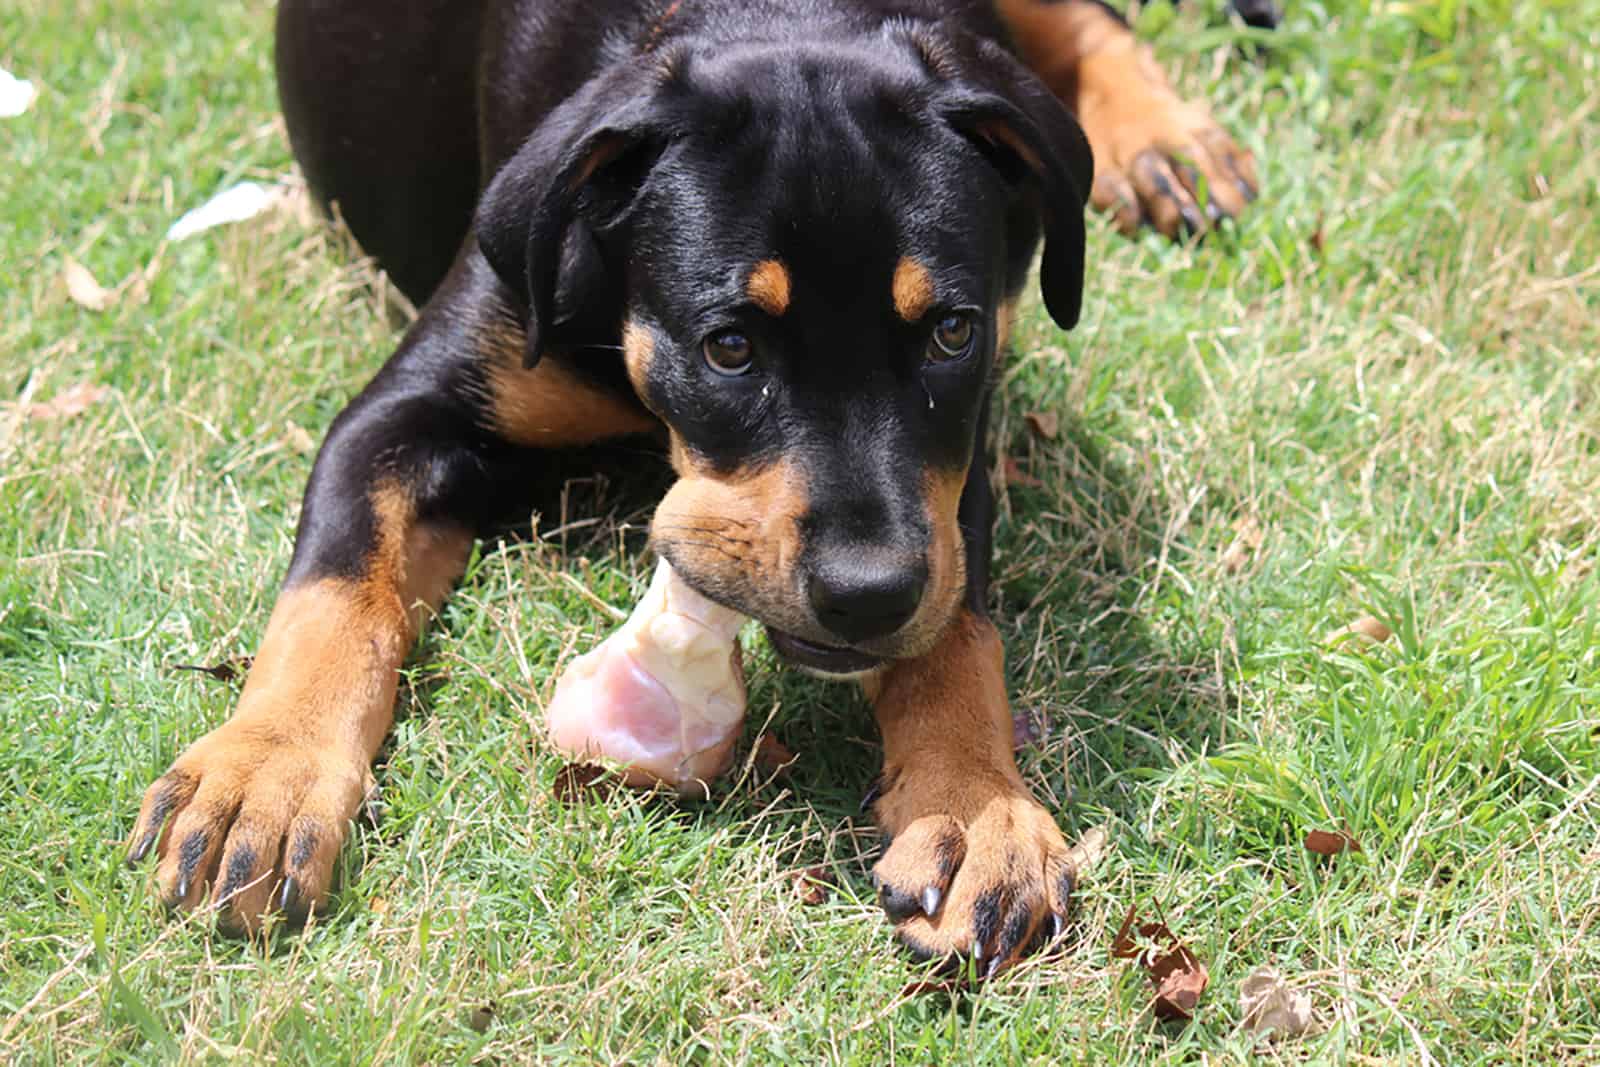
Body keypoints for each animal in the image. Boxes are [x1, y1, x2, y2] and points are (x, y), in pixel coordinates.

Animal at [131, 0, 1254, 972]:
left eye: (950, 331)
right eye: (728, 347)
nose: (866, 592)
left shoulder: (953, 462)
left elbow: (957, 627)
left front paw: (977, 806)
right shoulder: (403, 412)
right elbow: (337, 589)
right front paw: (262, 772)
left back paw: (1165, 141)